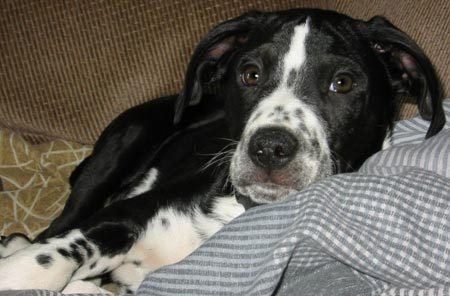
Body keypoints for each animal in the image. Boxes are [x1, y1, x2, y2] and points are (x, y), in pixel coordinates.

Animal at [0, 8, 444, 292]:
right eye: (250, 74)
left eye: (343, 83)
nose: (270, 147)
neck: (238, 215)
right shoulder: (125, 214)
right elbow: (53, 255)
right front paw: (21, 270)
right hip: (117, 151)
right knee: (54, 228)